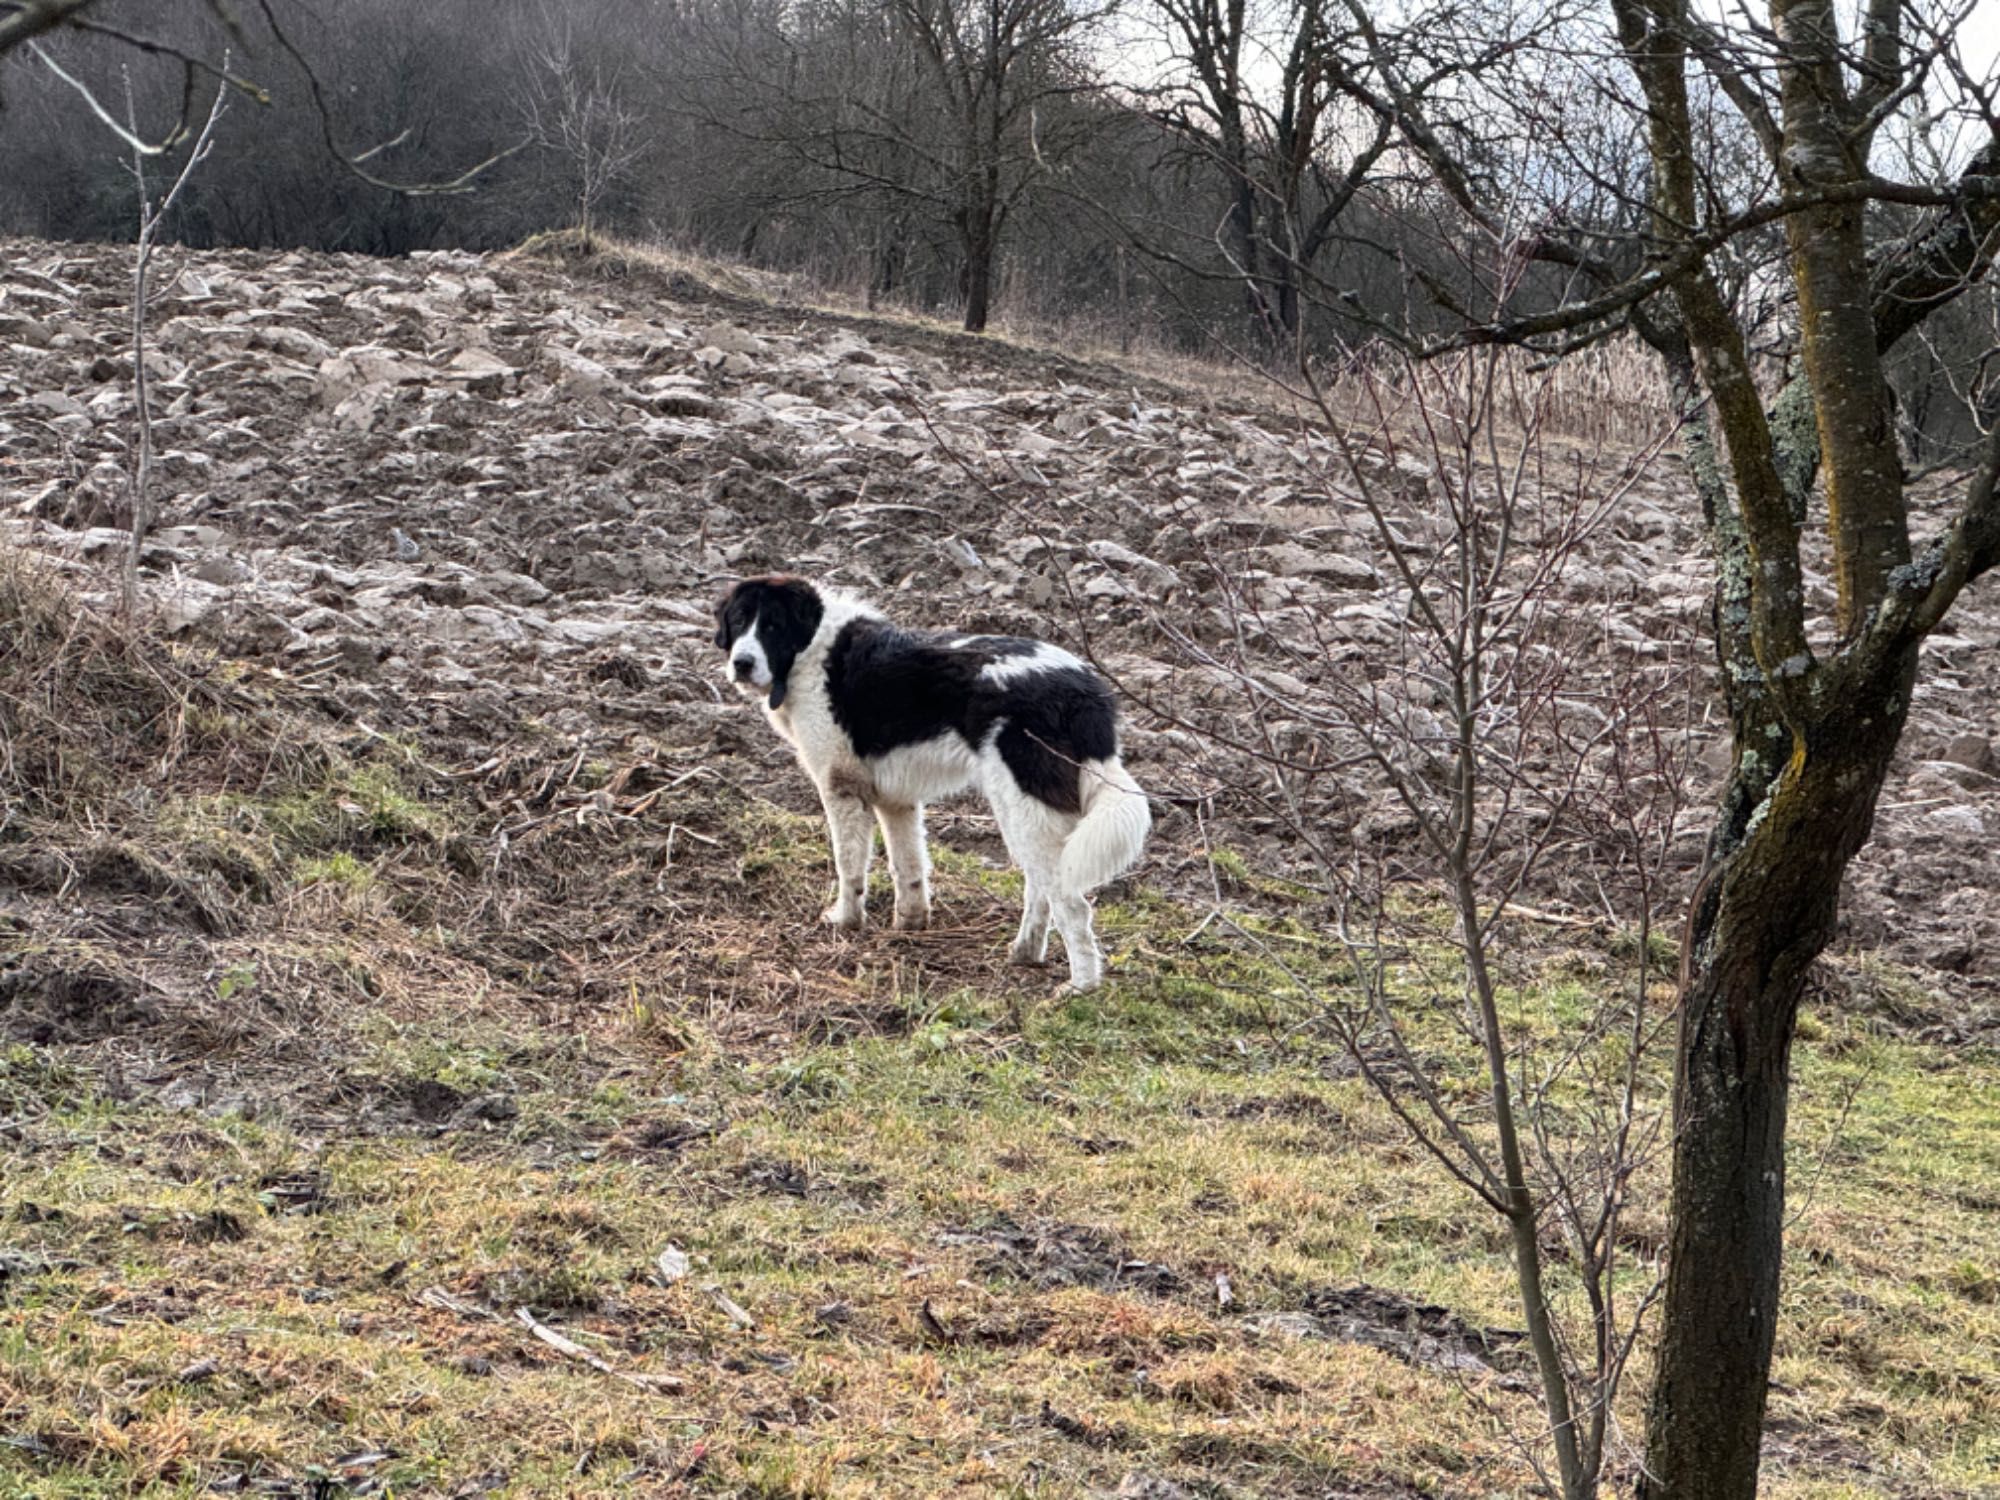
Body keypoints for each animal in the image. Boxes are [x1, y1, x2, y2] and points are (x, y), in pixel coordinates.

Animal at [720, 580, 1160, 992]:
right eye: (739, 621)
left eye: (773, 625)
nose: (741, 663)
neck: (809, 648)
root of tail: (1084, 690)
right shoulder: (896, 800)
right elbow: (908, 866)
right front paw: (910, 922)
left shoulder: (841, 787)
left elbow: (850, 865)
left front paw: (845, 920)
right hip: (1022, 812)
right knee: (1040, 887)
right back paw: (1025, 953)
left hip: (1026, 809)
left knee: (1071, 904)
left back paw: (1081, 986)